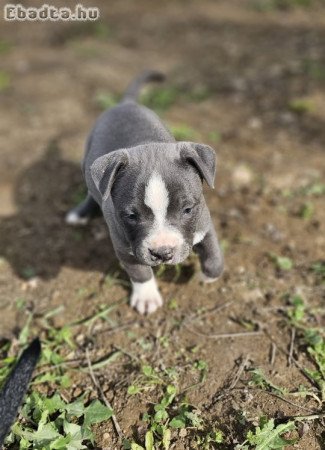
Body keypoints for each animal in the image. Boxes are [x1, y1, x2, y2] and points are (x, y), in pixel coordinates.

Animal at [66, 72, 223, 314]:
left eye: (187, 209)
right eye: (131, 216)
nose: (163, 253)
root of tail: (124, 104)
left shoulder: (203, 223)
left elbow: (214, 258)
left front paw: (207, 276)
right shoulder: (123, 246)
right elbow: (140, 272)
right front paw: (147, 296)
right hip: (88, 165)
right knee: (92, 193)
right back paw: (81, 213)